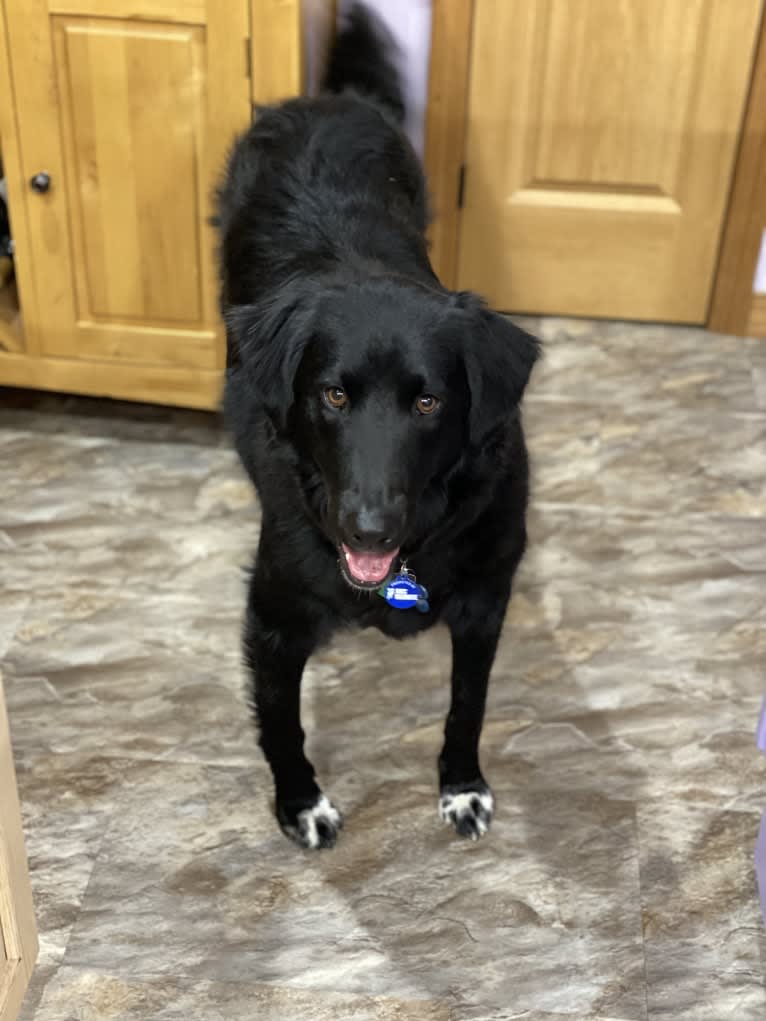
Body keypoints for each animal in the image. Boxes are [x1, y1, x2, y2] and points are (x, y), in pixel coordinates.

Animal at [216, 3, 539, 849]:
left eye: (428, 404)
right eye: (332, 395)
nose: (367, 529)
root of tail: (326, 100)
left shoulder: (486, 599)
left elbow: (467, 705)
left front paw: (462, 787)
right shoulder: (272, 616)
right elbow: (282, 723)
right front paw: (301, 802)